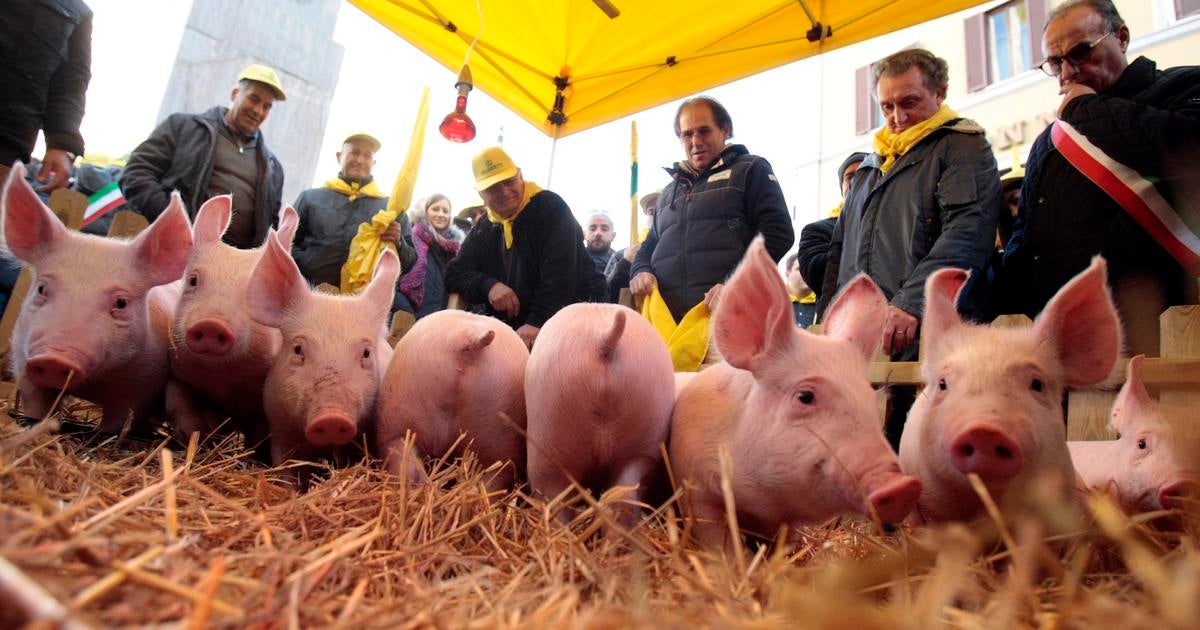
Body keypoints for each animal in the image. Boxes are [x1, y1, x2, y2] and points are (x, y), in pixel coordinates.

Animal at [1, 163, 192, 433]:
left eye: (121, 302)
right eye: (41, 288)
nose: (55, 359)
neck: (92, 384)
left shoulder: (141, 386)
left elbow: (118, 423)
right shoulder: (24, 363)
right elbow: (36, 406)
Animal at [164, 195, 298, 457]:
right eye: (193, 280)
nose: (211, 324)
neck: (223, 380)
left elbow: (259, 433)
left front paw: (253, 456)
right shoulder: (177, 369)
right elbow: (176, 399)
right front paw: (193, 437)